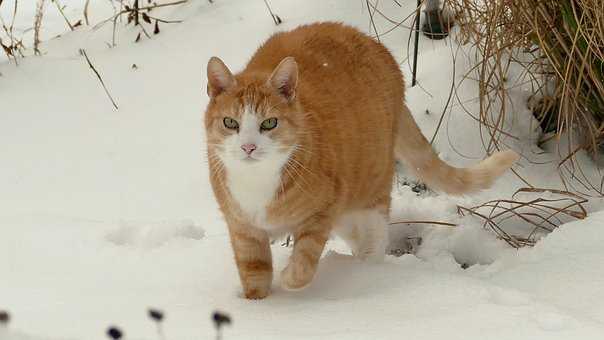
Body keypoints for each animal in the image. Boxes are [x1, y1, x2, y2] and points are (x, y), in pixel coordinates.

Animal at [204, 21, 520, 298]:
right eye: (231, 123)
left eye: (269, 124)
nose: (248, 147)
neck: (257, 181)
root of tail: (376, 45)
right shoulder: (243, 229)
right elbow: (254, 273)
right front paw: (257, 306)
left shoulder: (323, 211)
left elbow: (304, 262)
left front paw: (289, 279)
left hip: (368, 200)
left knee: (371, 246)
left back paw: (364, 276)